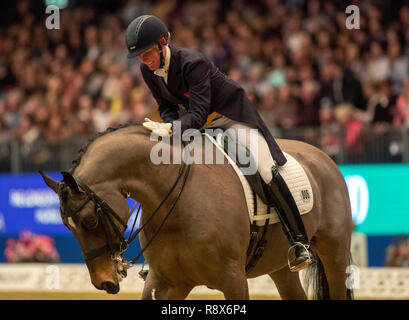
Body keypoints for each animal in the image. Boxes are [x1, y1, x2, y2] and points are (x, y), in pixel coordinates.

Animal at [40, 123, 354, 300]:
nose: (103, 282)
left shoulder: (233, 279)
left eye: (90, 220)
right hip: (280, 266)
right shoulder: (165, 282)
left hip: (334, 255)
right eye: (68, 226)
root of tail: (324, 156)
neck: (177, 202)